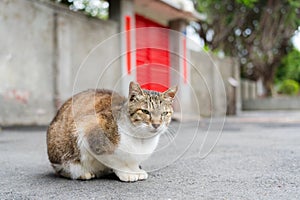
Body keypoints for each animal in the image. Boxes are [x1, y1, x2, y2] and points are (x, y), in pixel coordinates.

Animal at [47, 81, 177, 183]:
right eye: (145, 111)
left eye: (164, 113)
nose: (156, 124)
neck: (141, 139)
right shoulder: (90, 133)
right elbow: (115, 160)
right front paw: (127, 173)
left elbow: (133, 162)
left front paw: (136, 170)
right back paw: (83, 173)